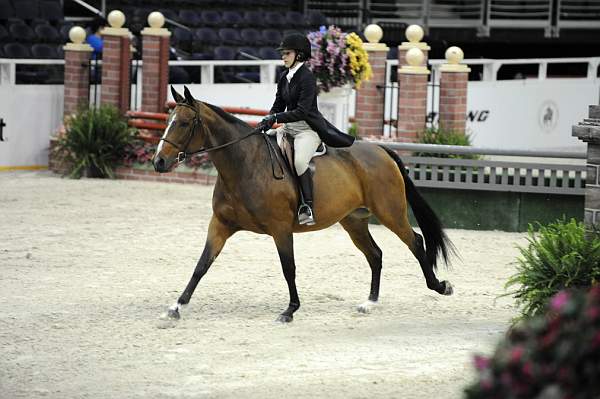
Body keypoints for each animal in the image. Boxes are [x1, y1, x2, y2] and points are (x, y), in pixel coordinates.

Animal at [155, 86, 454, 324]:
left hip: (390, 213)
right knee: (375, 254)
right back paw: (369, 302)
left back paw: (440, 287)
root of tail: (381, 150)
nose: (158, 162)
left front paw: (290, 310)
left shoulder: (280, 228)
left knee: (414, 242)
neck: (245, 164)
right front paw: (176, 306)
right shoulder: (221, 224)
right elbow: (202, 265)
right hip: (354, 221)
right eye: (168, 121)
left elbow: (289, 268)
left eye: (183, 123)